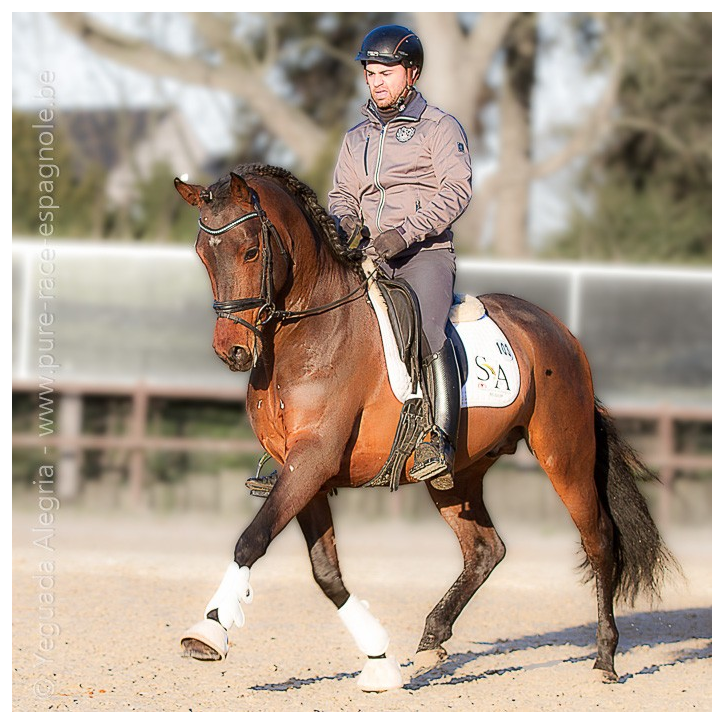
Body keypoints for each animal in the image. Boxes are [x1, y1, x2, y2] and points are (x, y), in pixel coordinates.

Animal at [173, 163, 675, 692]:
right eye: (203, 255)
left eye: (250, 250)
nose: (232, 351)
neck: (306, 334)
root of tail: (559, 331)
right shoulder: (302, 471)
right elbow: (326, 571)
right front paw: (379, 659)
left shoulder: (312, 459)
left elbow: (252, 539)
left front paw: (209, 630)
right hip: (458, 474)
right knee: (485, 550)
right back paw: (434, 638)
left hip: (565, 455)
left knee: (598, 540)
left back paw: (605, 658)